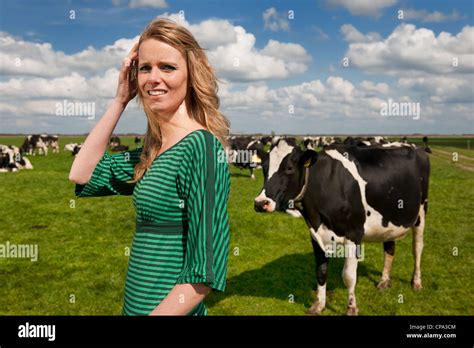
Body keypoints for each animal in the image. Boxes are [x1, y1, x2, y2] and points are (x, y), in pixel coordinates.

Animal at [256, 138, 430, 316]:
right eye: (264, 167)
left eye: (289, 168)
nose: (260, 203)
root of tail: (414, 147)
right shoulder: (315, 234)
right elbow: (321, 271)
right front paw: (318, 305)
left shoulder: (354, 234)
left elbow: (349, 276)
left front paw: (352, 308)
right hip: (389, 217)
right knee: (389, 247)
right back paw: (384, 281)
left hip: (421, 212)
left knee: (417, 248)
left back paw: (416, 282)